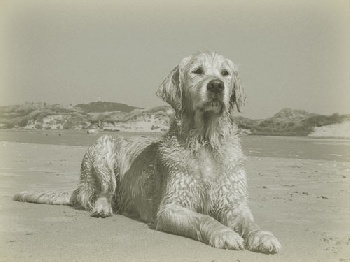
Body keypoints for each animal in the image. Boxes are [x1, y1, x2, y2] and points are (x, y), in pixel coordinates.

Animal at [14, 51, 282, 254]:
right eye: (197, 71)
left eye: (225, 73)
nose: (216, 85)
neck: (206, 140)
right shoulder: (171, 207)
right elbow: (204, 218)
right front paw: (225, 233)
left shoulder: (234, 204)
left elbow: (249, 222)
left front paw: (263, 236)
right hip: (102, 149)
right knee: (98, 194)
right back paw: (102, 208)